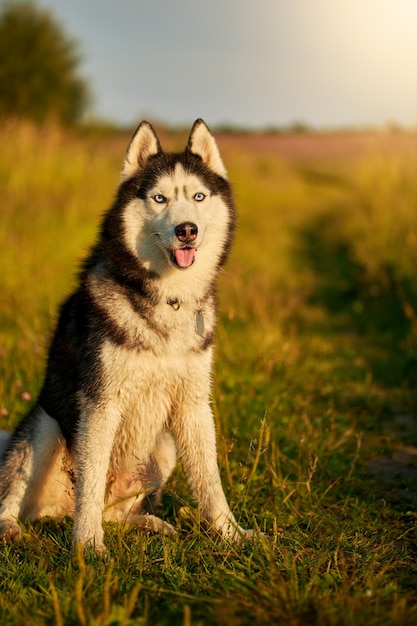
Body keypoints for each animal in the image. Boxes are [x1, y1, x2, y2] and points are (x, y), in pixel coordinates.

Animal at [0, 119, 254, 548]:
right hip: (45, 427)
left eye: (199, 196)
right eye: (159, 198)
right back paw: (13, 529)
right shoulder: (100, 402)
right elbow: (89, 483)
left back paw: (148, 524)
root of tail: (55, 513)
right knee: (21, 497)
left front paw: (231, 533)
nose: (187, 230)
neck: (168, 298)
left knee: (116, 513)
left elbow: (210, 480)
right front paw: (88, 546)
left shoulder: (194, 405)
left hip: (163, 447)